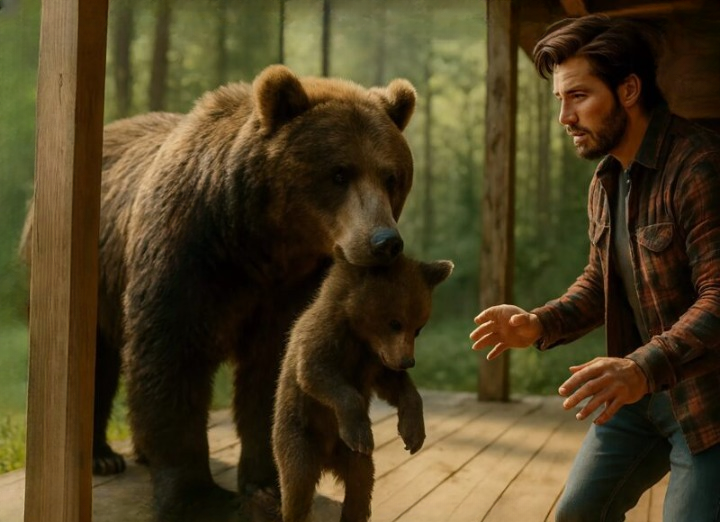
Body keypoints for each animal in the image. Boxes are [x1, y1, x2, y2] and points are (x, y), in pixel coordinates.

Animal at [19, 64, 417, 521]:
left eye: (391, 176)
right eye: (339, 172)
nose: (384, 241)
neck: (261, 244)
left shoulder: (291, 289)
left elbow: (271, 372)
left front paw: (267, 482)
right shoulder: (189, 256)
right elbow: (171, 359)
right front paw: (196, 495)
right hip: (94, 274)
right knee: (92, 358)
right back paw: (103, 455)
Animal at [272, 249, 453, 522]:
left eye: (418, 328)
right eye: (395, 322)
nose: (407, 362)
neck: (360, 337)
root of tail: (326, 461)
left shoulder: (377, 362)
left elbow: (397, 388)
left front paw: (413, 434)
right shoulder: (323, 339)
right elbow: (316, 374)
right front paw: (359, 434)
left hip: (355, 459)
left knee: (361, 484)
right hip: (297, 436)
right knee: (297, 483)